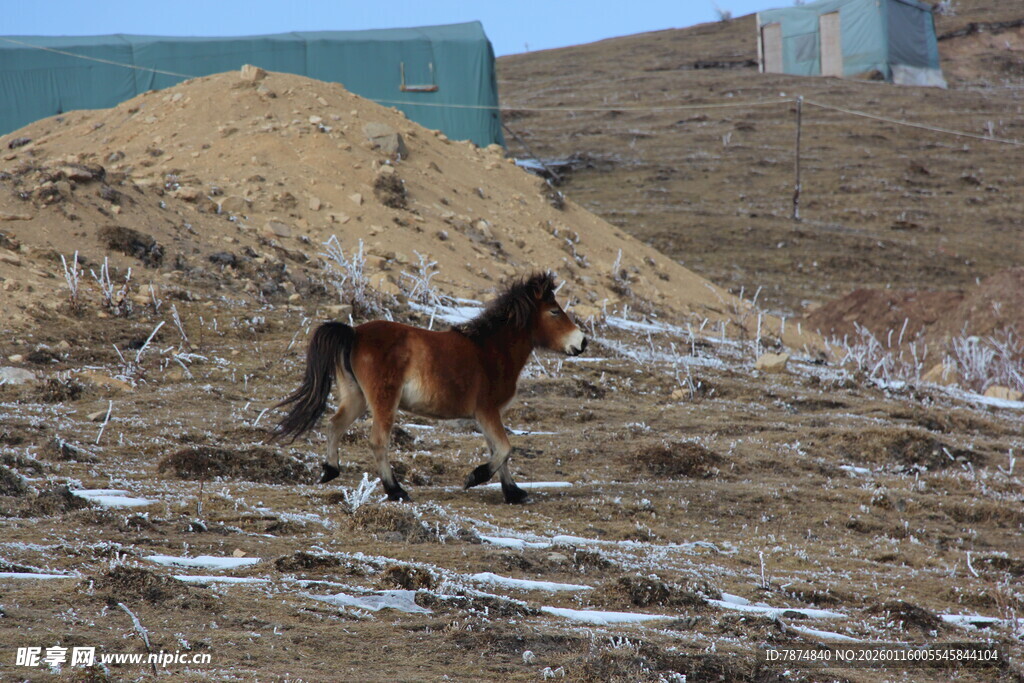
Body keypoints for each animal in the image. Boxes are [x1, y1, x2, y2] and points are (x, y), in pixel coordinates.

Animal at [267, 272, 588, 504]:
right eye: (554, 312)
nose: (582, 342)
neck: (490, 349)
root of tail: (354, 333)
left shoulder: (488, 415)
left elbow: (499, 450)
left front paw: (514, 493)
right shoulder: (486, 411)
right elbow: (505, 449)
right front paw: (475, 477)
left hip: (356, 397)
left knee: (334, 425)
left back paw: (330, 471)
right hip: (384, 400)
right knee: (378, 441)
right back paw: (396, 490)